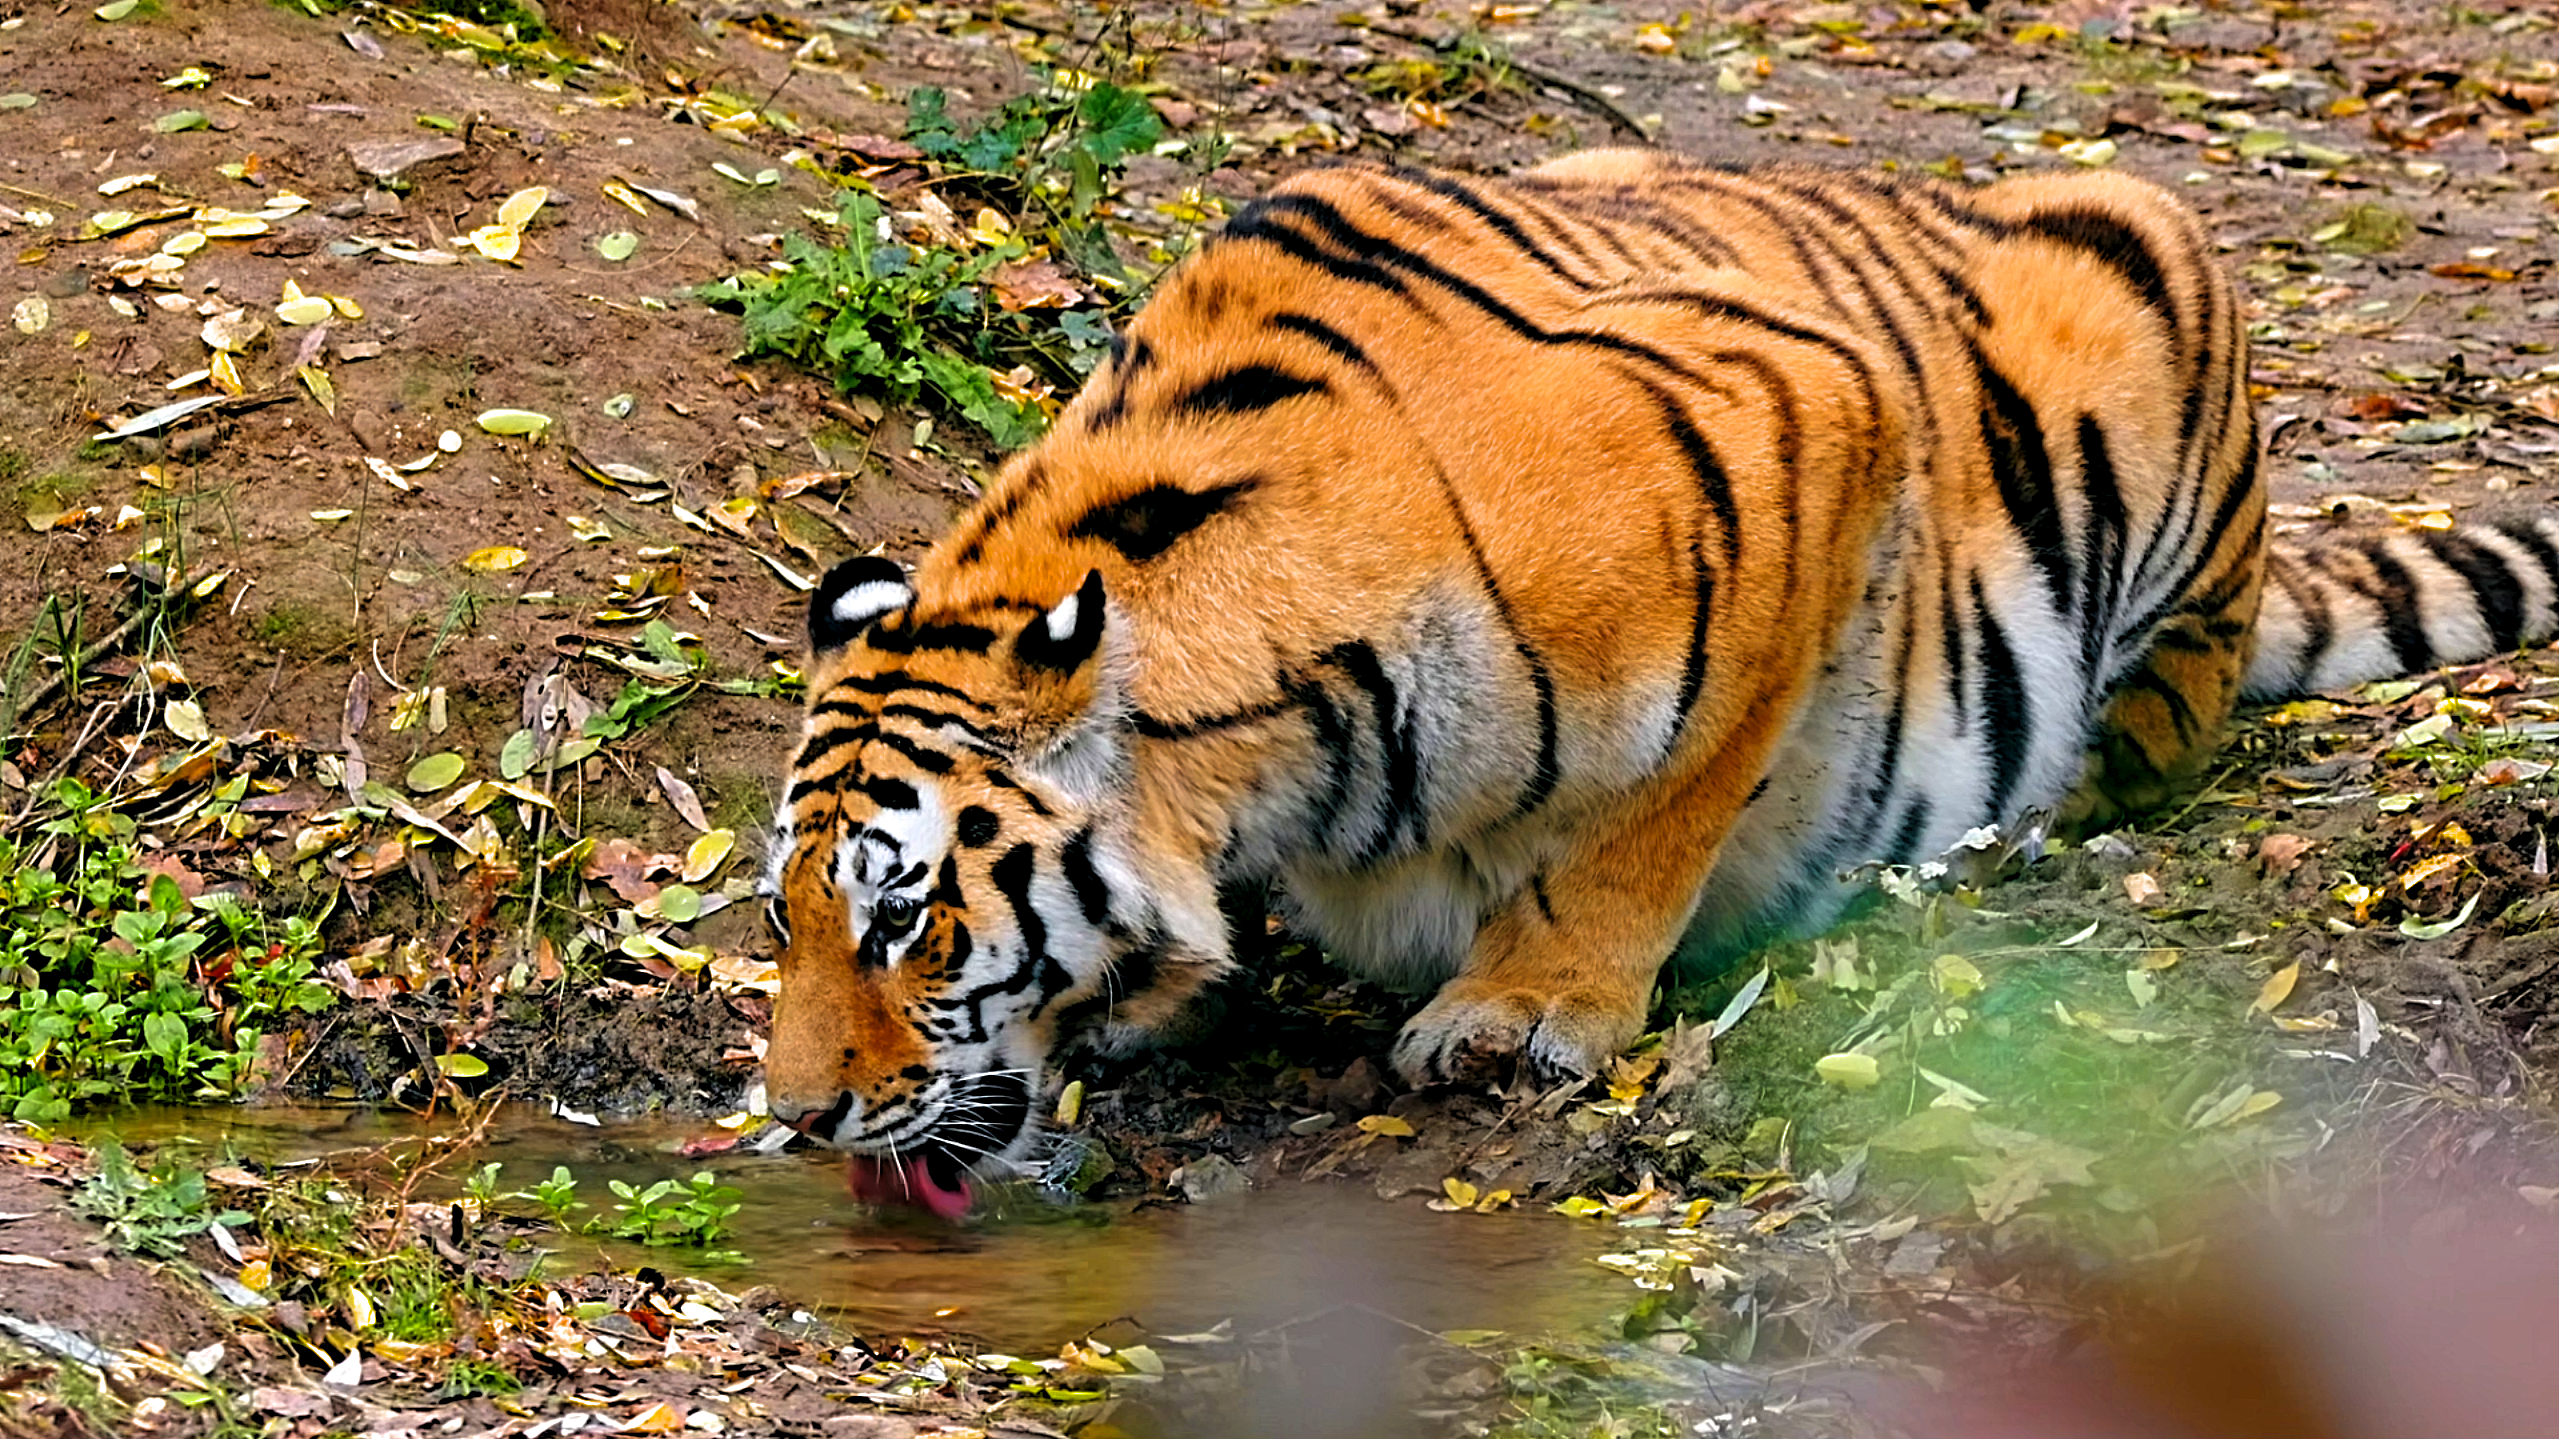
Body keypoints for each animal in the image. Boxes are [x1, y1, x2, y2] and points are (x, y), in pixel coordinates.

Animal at [757, 150, 2559, 1212]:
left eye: (907, 920)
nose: (792, 1117)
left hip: (2137, 284)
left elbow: (1648, 817)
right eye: (782, 918)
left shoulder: (1808, 443)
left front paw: (1520, 1009)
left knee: (2149, 731)